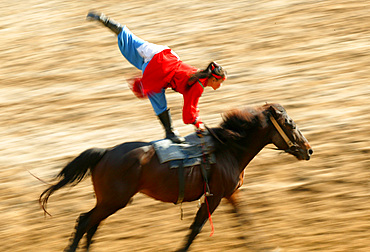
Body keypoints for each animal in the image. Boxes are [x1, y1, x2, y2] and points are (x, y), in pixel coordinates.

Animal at [39, 103, 312, 252]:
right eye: (289, 123)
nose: (308, 150)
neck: (227, 149)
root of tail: (105, 153)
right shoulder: (213, 197)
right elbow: (195, 230)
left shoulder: (229, 194)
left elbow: (245, 221)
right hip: (113, 201)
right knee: (84, 222)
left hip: (108, 202)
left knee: (90, 225)